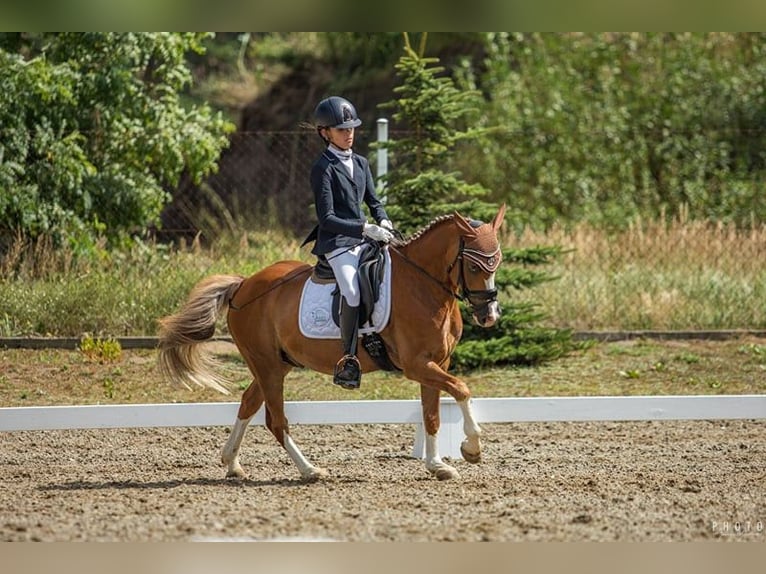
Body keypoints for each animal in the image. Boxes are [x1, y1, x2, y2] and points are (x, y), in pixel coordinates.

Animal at [157, 204, 506, 481]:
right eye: (473, 265)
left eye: (498, 261)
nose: (488, 315)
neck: (424, 285)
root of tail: (243, 285)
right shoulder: (416, 365)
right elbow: (462, 389)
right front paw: (472, 448)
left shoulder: (436, 362)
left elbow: (432, 413)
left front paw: (437, 466)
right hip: (266, 364)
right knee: (275, 419)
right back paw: (309, 470)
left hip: (276, 364)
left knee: (249, 403)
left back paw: (232, 463)